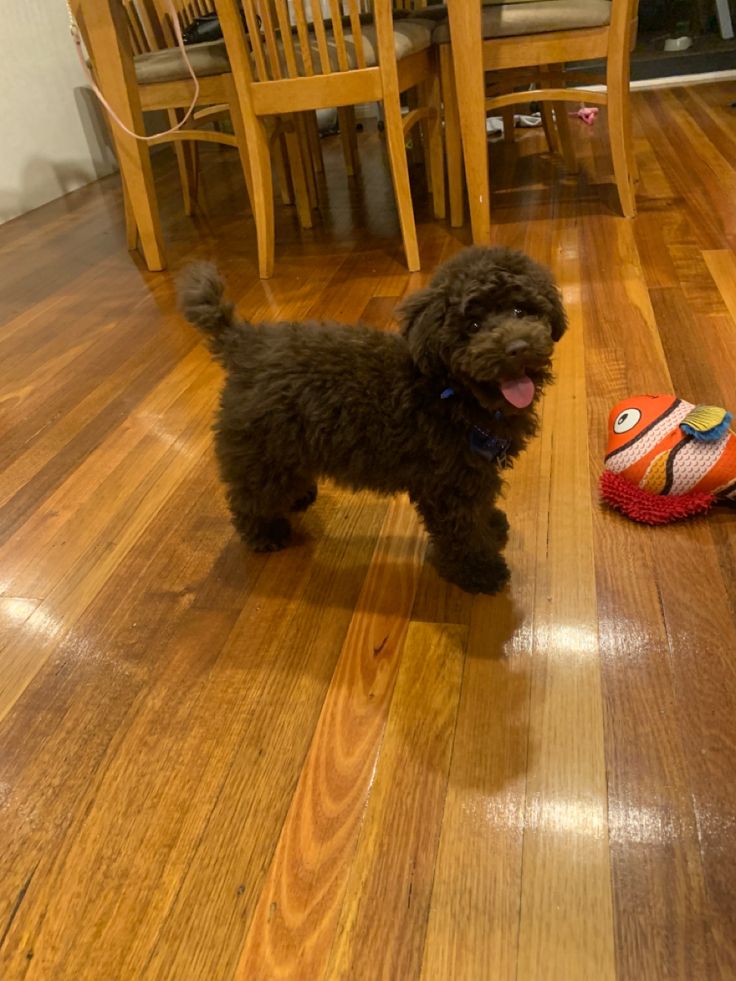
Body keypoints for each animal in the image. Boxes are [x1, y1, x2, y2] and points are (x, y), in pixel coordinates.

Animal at [180, 249, 568, 592]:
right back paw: (265, 533)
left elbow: (480, 509)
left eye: (521, 310)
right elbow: (463, 533)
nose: (517, 347)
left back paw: (298, 497)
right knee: (248, 496)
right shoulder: (448, 486)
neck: (450, 392)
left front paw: (492, 525)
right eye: (472, 325)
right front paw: (480, 572)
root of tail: (245, 345)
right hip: (263, 452)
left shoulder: (476, 473)